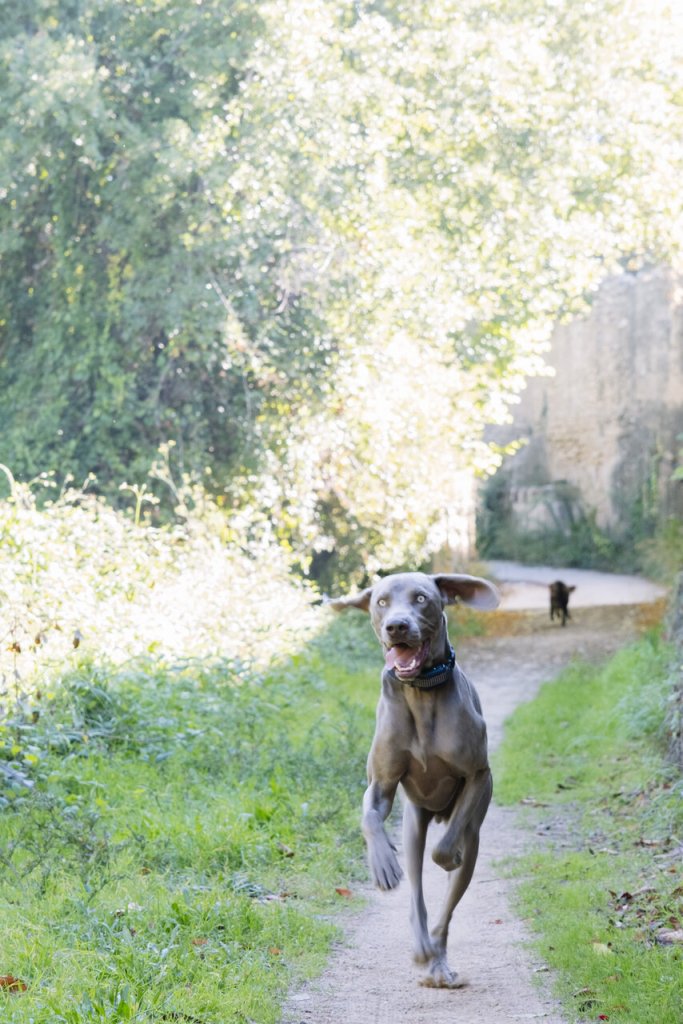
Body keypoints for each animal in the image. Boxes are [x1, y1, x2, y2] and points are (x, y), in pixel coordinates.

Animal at [331, 573, 501, 987]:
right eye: (380, 602)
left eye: (421, 598)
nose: (397, 626)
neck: (420, 694)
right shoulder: (380, 784)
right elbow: (369, 815)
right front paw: (381, 866)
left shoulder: (479, 775)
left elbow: (446, 848)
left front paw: (449, 855)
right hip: (413, 822)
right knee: (416, 892)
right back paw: (422, 948)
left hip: (471, 832)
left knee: (448, 899)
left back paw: (438, 961)